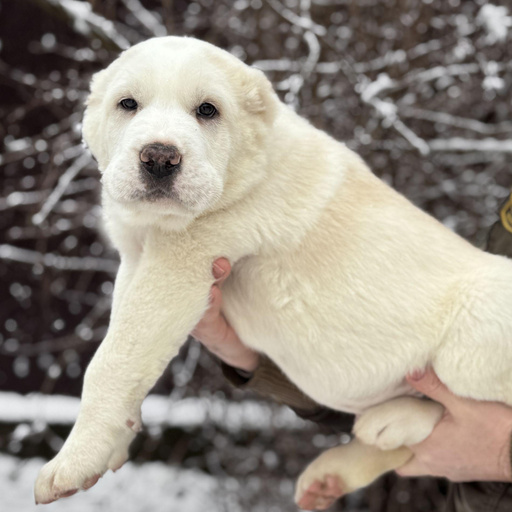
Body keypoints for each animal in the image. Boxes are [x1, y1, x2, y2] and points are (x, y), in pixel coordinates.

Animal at [34, 36, 512, 508]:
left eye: (207, 110)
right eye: (128, 104)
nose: (159, 158)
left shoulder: (180, 264)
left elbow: (112, 361)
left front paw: (72, 463)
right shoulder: (136, 263)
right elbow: (123, 349)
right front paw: (115, 442)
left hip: (467, 345)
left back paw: (396, 419)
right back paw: (332, 473)